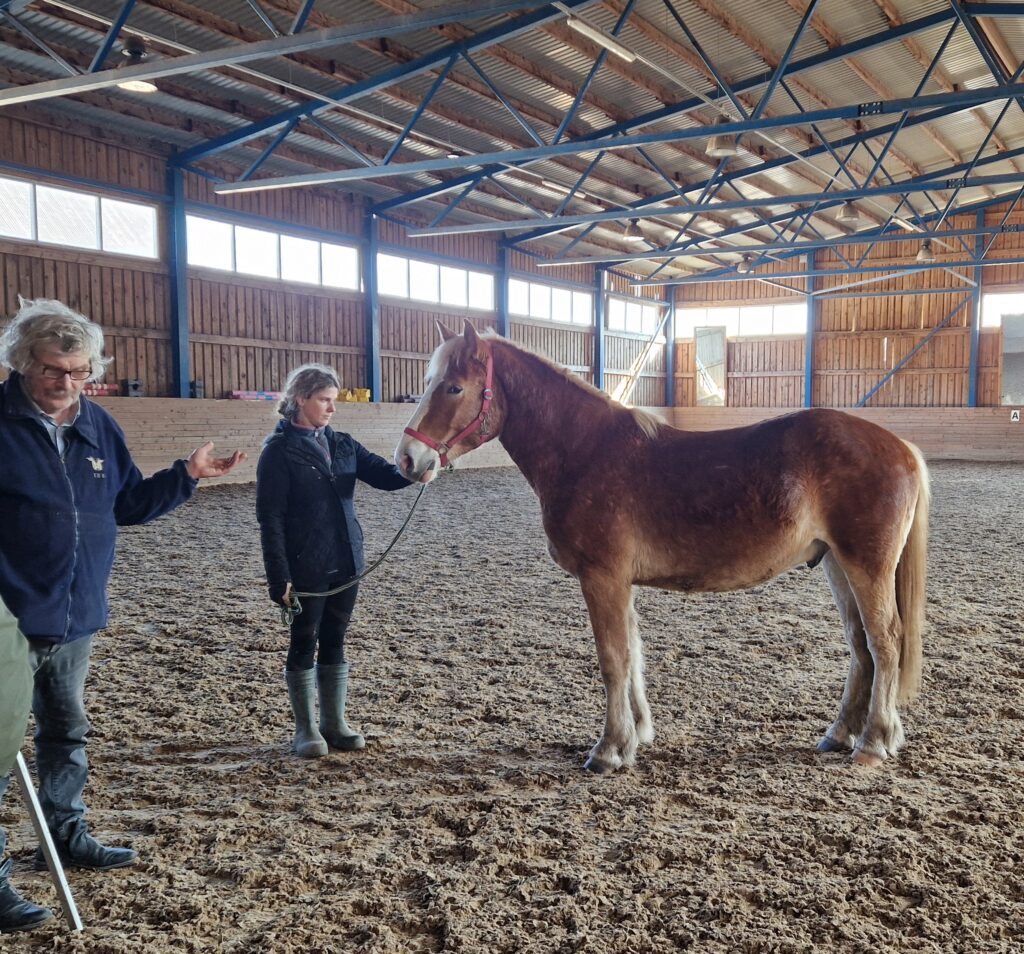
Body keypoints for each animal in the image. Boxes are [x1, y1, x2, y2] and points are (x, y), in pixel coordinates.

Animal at [395, 320, 930, 774]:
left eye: (454, 387)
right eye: (428, 381)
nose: (407, 459)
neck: (585, 450)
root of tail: (902, 447)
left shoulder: (602, 578)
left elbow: (613, 661)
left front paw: (609, 750)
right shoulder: (619, 583)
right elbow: (632, 656)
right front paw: (636, 736)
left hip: (867, 566)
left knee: (885, 641)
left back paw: (873, 743)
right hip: (837, 564)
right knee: (860, 646)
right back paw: (840, 734)